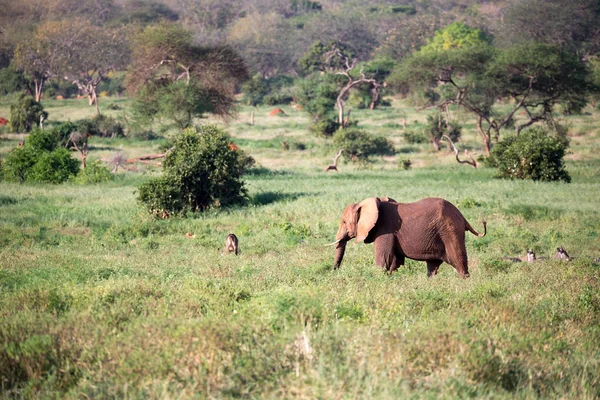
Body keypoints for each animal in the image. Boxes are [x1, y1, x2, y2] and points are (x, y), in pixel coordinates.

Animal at [330, 197, 486, 278]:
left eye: (344, 222)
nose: (334, 271)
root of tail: (462, 216)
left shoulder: (385, 229)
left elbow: (384, 259)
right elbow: (396, 261)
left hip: (450, 230)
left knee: (458, 259)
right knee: (433, 265)